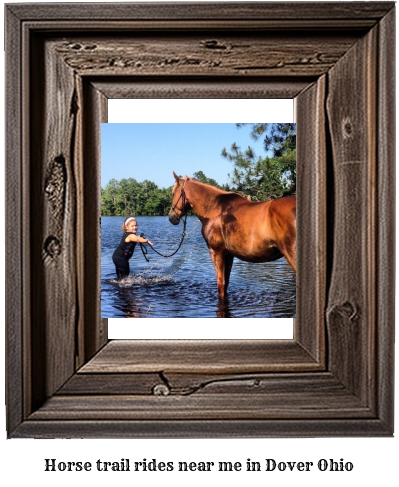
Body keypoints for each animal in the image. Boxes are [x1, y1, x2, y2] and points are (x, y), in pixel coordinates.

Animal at [169, 172, 296, 302]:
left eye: (173, 193)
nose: (171, 217)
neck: (214, 209)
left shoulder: (216, 252)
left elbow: (220, 284)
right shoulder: (229, 255)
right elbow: (226, 284)